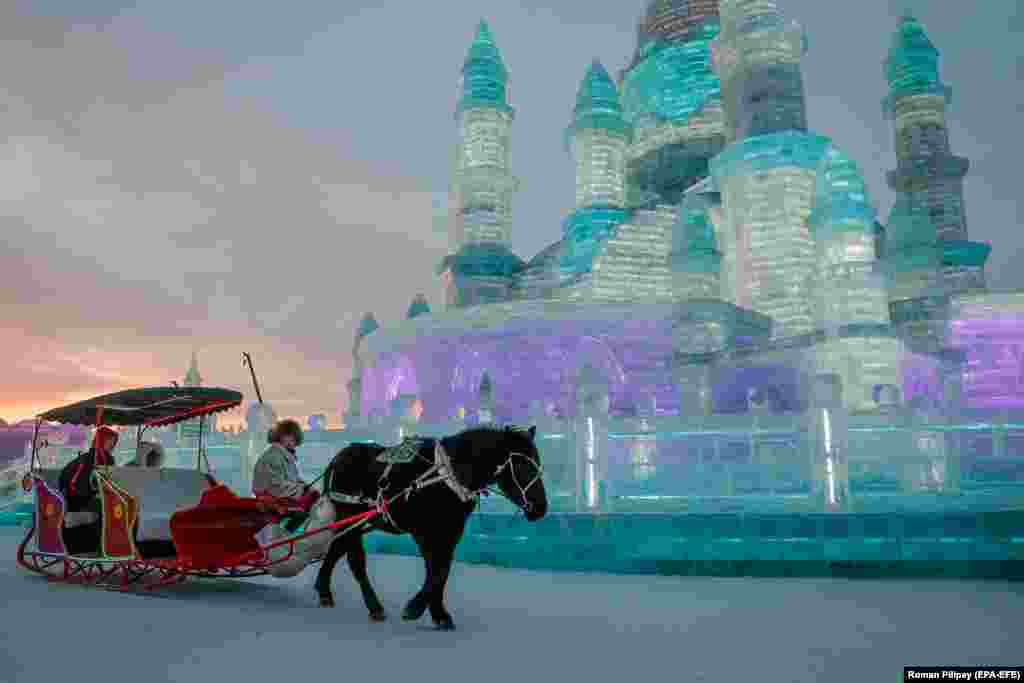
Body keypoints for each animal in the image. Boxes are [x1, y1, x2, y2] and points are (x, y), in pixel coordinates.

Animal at [313, 428, 548, 630]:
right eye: (520, 465)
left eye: (537, 463)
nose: (541, 508)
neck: (446, 475)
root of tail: (337, 458)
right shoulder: (425, 532)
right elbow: (436, 570)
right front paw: (415, 608)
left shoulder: (451, 531)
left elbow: (442, 569)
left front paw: (439, 614)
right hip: (350, 516)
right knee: (356, 561)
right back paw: (374, 606)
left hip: (357, 522)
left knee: (336, 547)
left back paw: (323, 589)